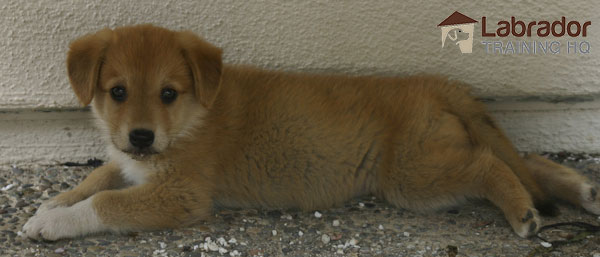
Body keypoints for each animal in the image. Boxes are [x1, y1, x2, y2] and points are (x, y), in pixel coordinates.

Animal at [23, 24, 600, 240]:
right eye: (117, 91)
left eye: (168, 93)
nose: (141, 137)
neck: (193, 119)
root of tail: (435, 85)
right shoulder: (130, 164)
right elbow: (95, 179)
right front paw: (49, 205)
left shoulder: (180, 193)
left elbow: (106, 203)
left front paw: (52, 223)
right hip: (436, 157)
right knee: (525, 159)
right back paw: (582, 190)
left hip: (415, 177)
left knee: (491, 164)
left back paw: (523, 212)